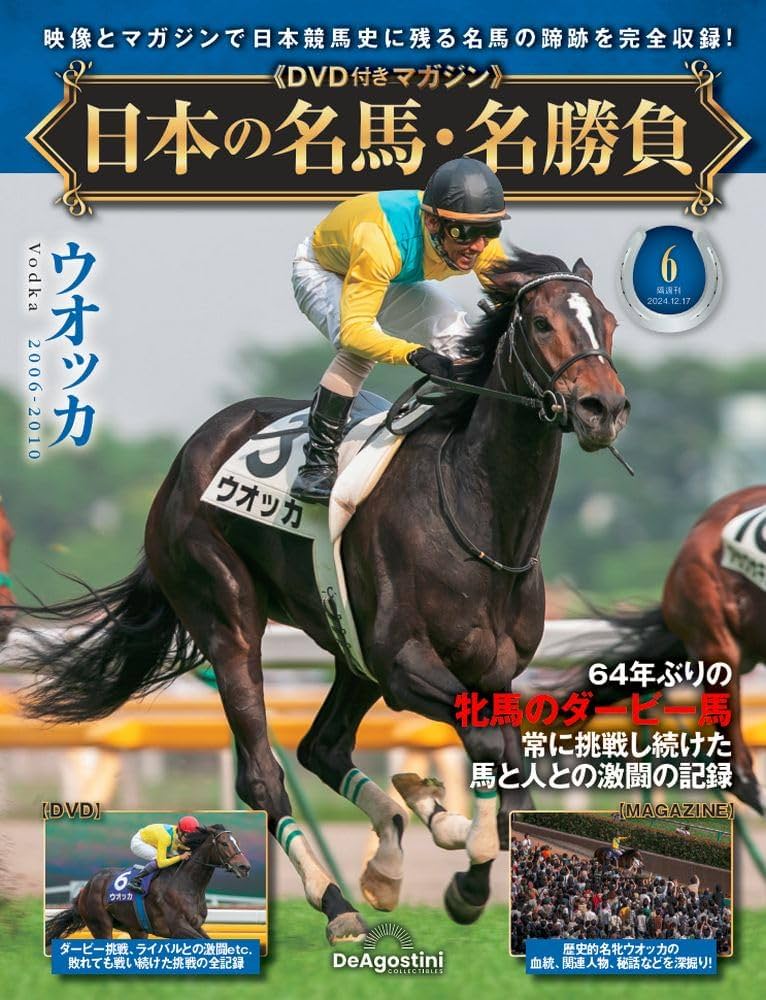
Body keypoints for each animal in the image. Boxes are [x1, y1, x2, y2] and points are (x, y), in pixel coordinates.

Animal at [45, 823, 251, 944]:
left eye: (236, 842)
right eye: (224, 844)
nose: (245, 867)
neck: (187, 885)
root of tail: (85, 888)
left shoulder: (196, 925)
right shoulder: (178, 927)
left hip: (136, 928)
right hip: (100, 924)